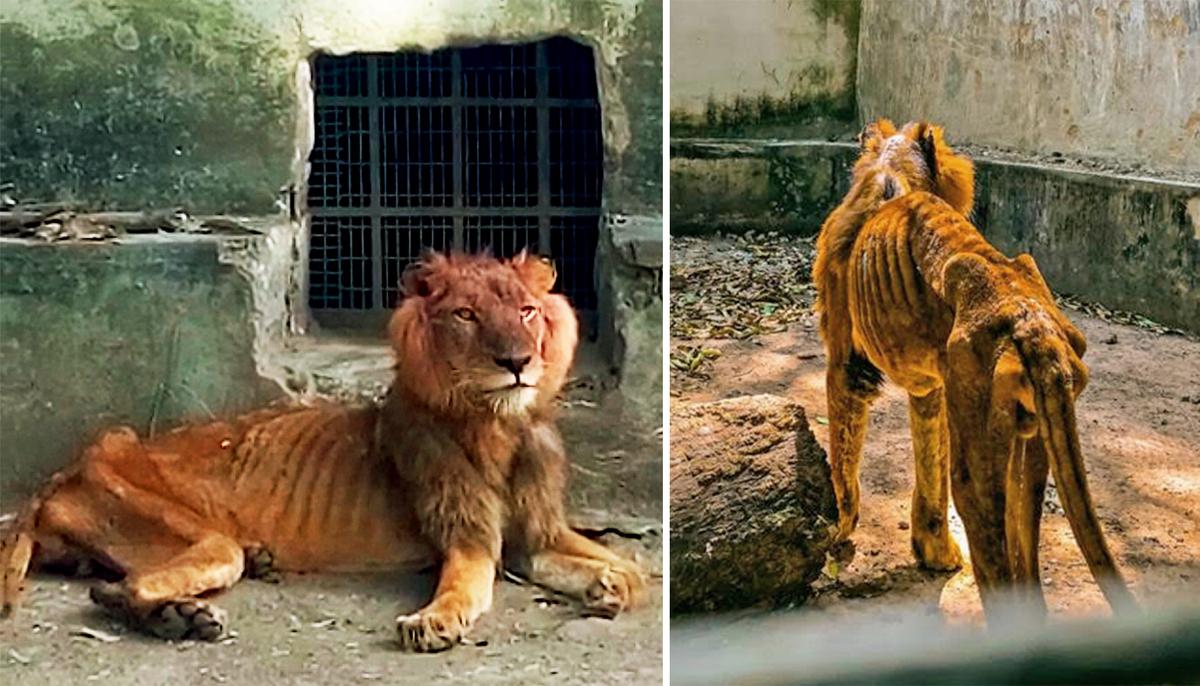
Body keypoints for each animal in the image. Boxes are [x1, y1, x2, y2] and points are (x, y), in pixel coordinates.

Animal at [0, 251, 645, 650]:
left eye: (527, 311)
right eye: (465, 314)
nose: (517, 362)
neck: (499, 426)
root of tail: (62, 473)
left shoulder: (532, 536)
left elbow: (628, 567)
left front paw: (608, 585)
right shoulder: (468, 539)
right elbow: (461, 589)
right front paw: (431, 624)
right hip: (193, 533)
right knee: (118, 590)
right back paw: (184, 619)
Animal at [812, 119, 1136, 620]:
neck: (895, 167)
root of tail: (1032, 323)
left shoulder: (846, 364)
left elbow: (844, 466)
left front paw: (837, 534)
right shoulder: (932, 386)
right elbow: (930, 459)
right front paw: (935, 551)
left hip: (979, 460)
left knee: (993, 553)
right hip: (1032, 448)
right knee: (1024, 560)